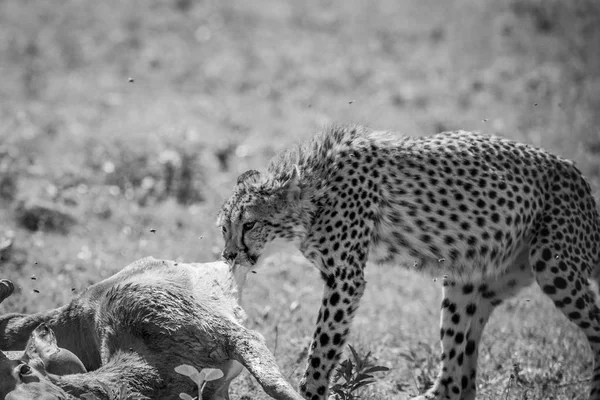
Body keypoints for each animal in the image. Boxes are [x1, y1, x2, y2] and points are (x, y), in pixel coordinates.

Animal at [217, 125, 600, 400]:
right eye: (224, 228)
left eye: (249, 225)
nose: (229, 255)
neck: (315, 193)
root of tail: (576, 173)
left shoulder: (345, 279)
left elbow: (323, 345)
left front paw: (310, 391)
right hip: (472, 283)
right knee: (456, 381)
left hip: (555, 268)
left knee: (596, 327)